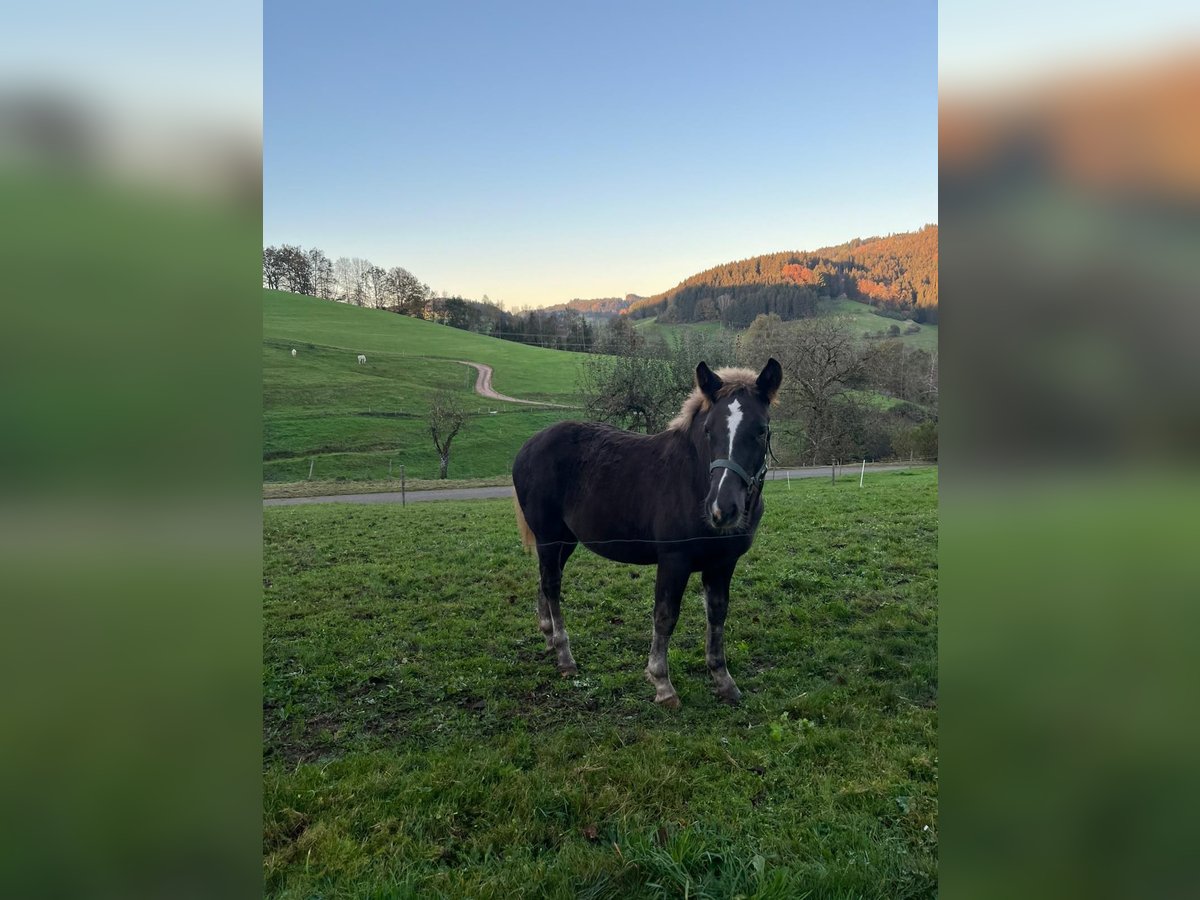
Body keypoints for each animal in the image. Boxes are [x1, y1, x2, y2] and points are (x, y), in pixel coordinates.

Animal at [511, 355, 782, 710]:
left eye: (761, 430)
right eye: (708, 430)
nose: (721, 510)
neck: (692, 477)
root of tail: (528, 446)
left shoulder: (723, 563)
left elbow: (717, 614)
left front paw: (723, 680)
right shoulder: (673, 559)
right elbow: (665, 616)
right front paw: (662, 683)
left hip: (566, 541)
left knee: (545, 580)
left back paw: (547, 638)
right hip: (548, 536)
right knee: (552, 585)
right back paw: (564, 655)